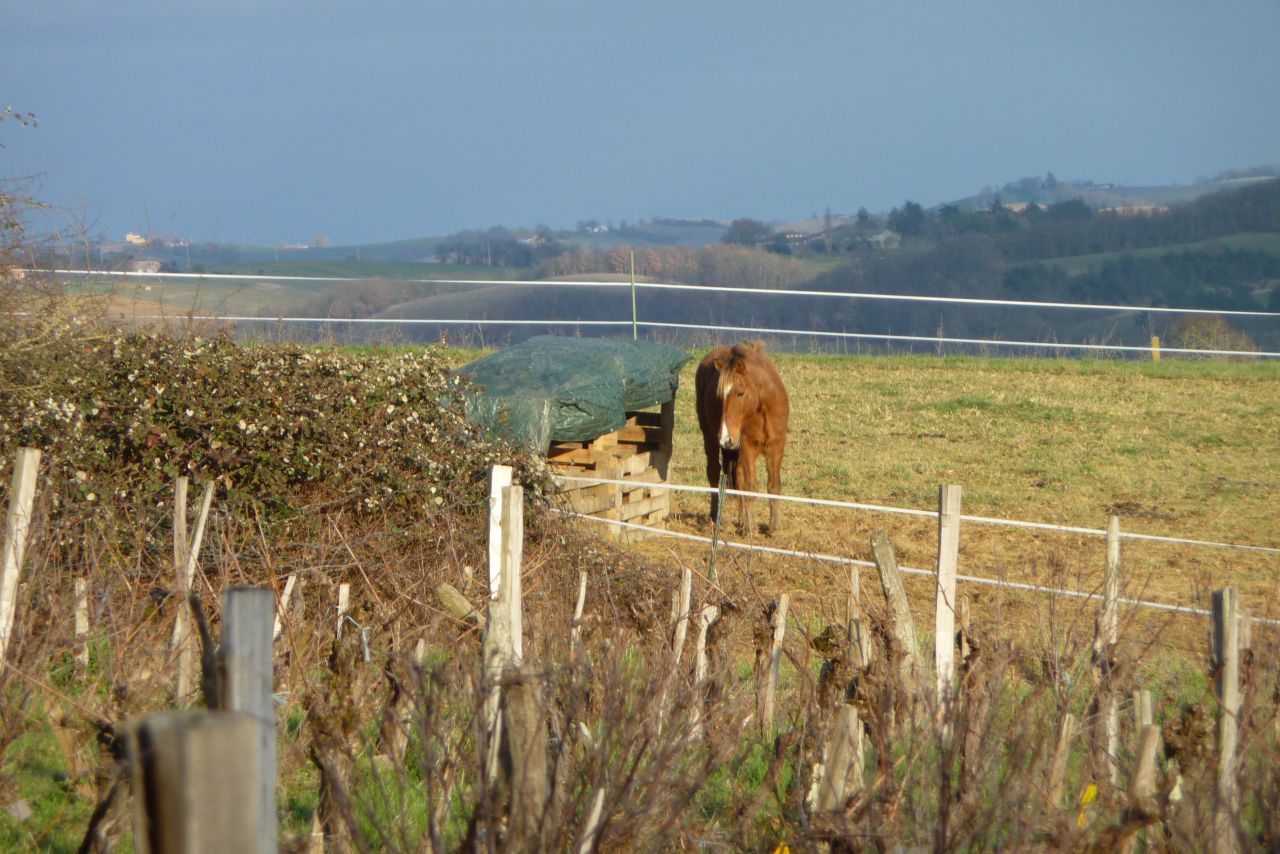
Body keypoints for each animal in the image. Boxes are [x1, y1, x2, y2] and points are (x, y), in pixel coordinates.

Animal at [695, 341, 790, 535]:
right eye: (719, 395)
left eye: (740, 393)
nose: (725, 437)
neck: (762, 408)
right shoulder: (747, 447)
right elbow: (750, 487)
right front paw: (750, 528)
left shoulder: (777, 446)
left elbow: (774, 485)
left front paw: (775, 528)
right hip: (711, 438)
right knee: (714, 474)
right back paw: (715, 518)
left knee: (737, 476)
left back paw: (740, 519)